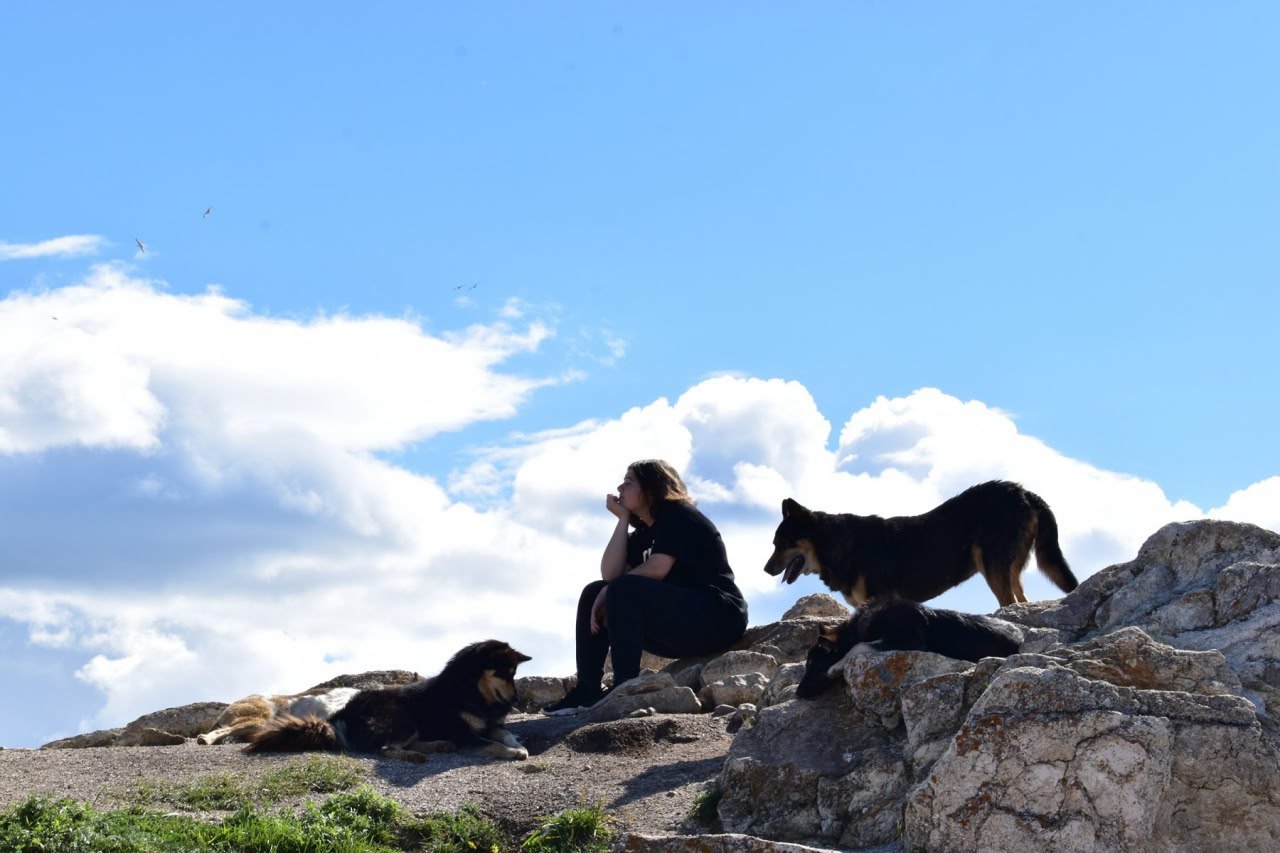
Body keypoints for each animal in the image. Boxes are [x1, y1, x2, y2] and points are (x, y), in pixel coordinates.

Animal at [239, 637, 529, 758]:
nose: (516, 700)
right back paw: (419, 754)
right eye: (504, 673)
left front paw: (518, 744)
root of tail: (341, 715)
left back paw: (438, 745)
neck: (470, 690)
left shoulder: (489, 725)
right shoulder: (462, 732)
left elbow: (503, 733)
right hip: (401, 716)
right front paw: (514, 752)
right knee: (386, 749)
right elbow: (490, 744)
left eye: (514, 674)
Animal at [762, 479, 1075, 612]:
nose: (765, 570)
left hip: (990, 562)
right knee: (1022, 599)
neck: (835, 543)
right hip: (1008, 568)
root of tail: (1025, 492)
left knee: (1010, 602)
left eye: (782, 543)